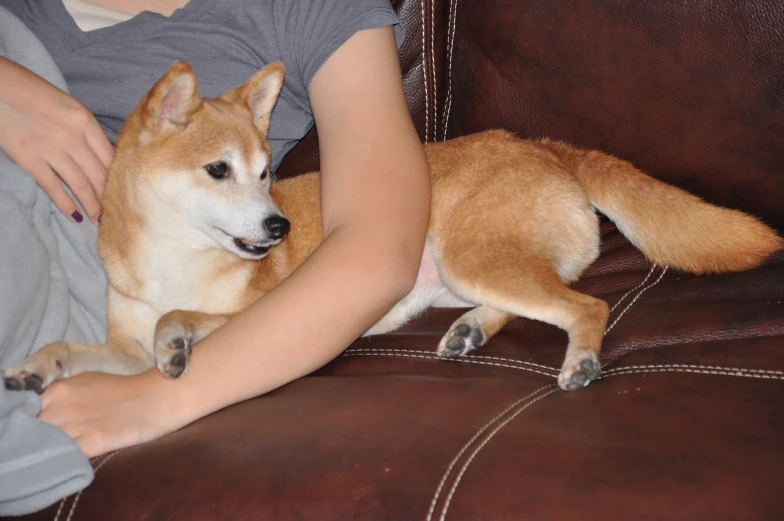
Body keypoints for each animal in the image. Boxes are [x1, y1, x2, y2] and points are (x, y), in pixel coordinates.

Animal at [3, 61, 780, 392]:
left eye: (266, 169)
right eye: (219, 170)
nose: (280, 226)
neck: (172, 257)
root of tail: (542, 144)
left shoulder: (260, 309)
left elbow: (182, 318)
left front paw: (177, 342)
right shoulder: (121, 346)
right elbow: (79, 348)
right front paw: (37, 366)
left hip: (474, 254)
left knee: (586, 305)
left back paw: (580, 361)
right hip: (465, 269)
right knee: (541, 301)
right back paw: (470, 332)